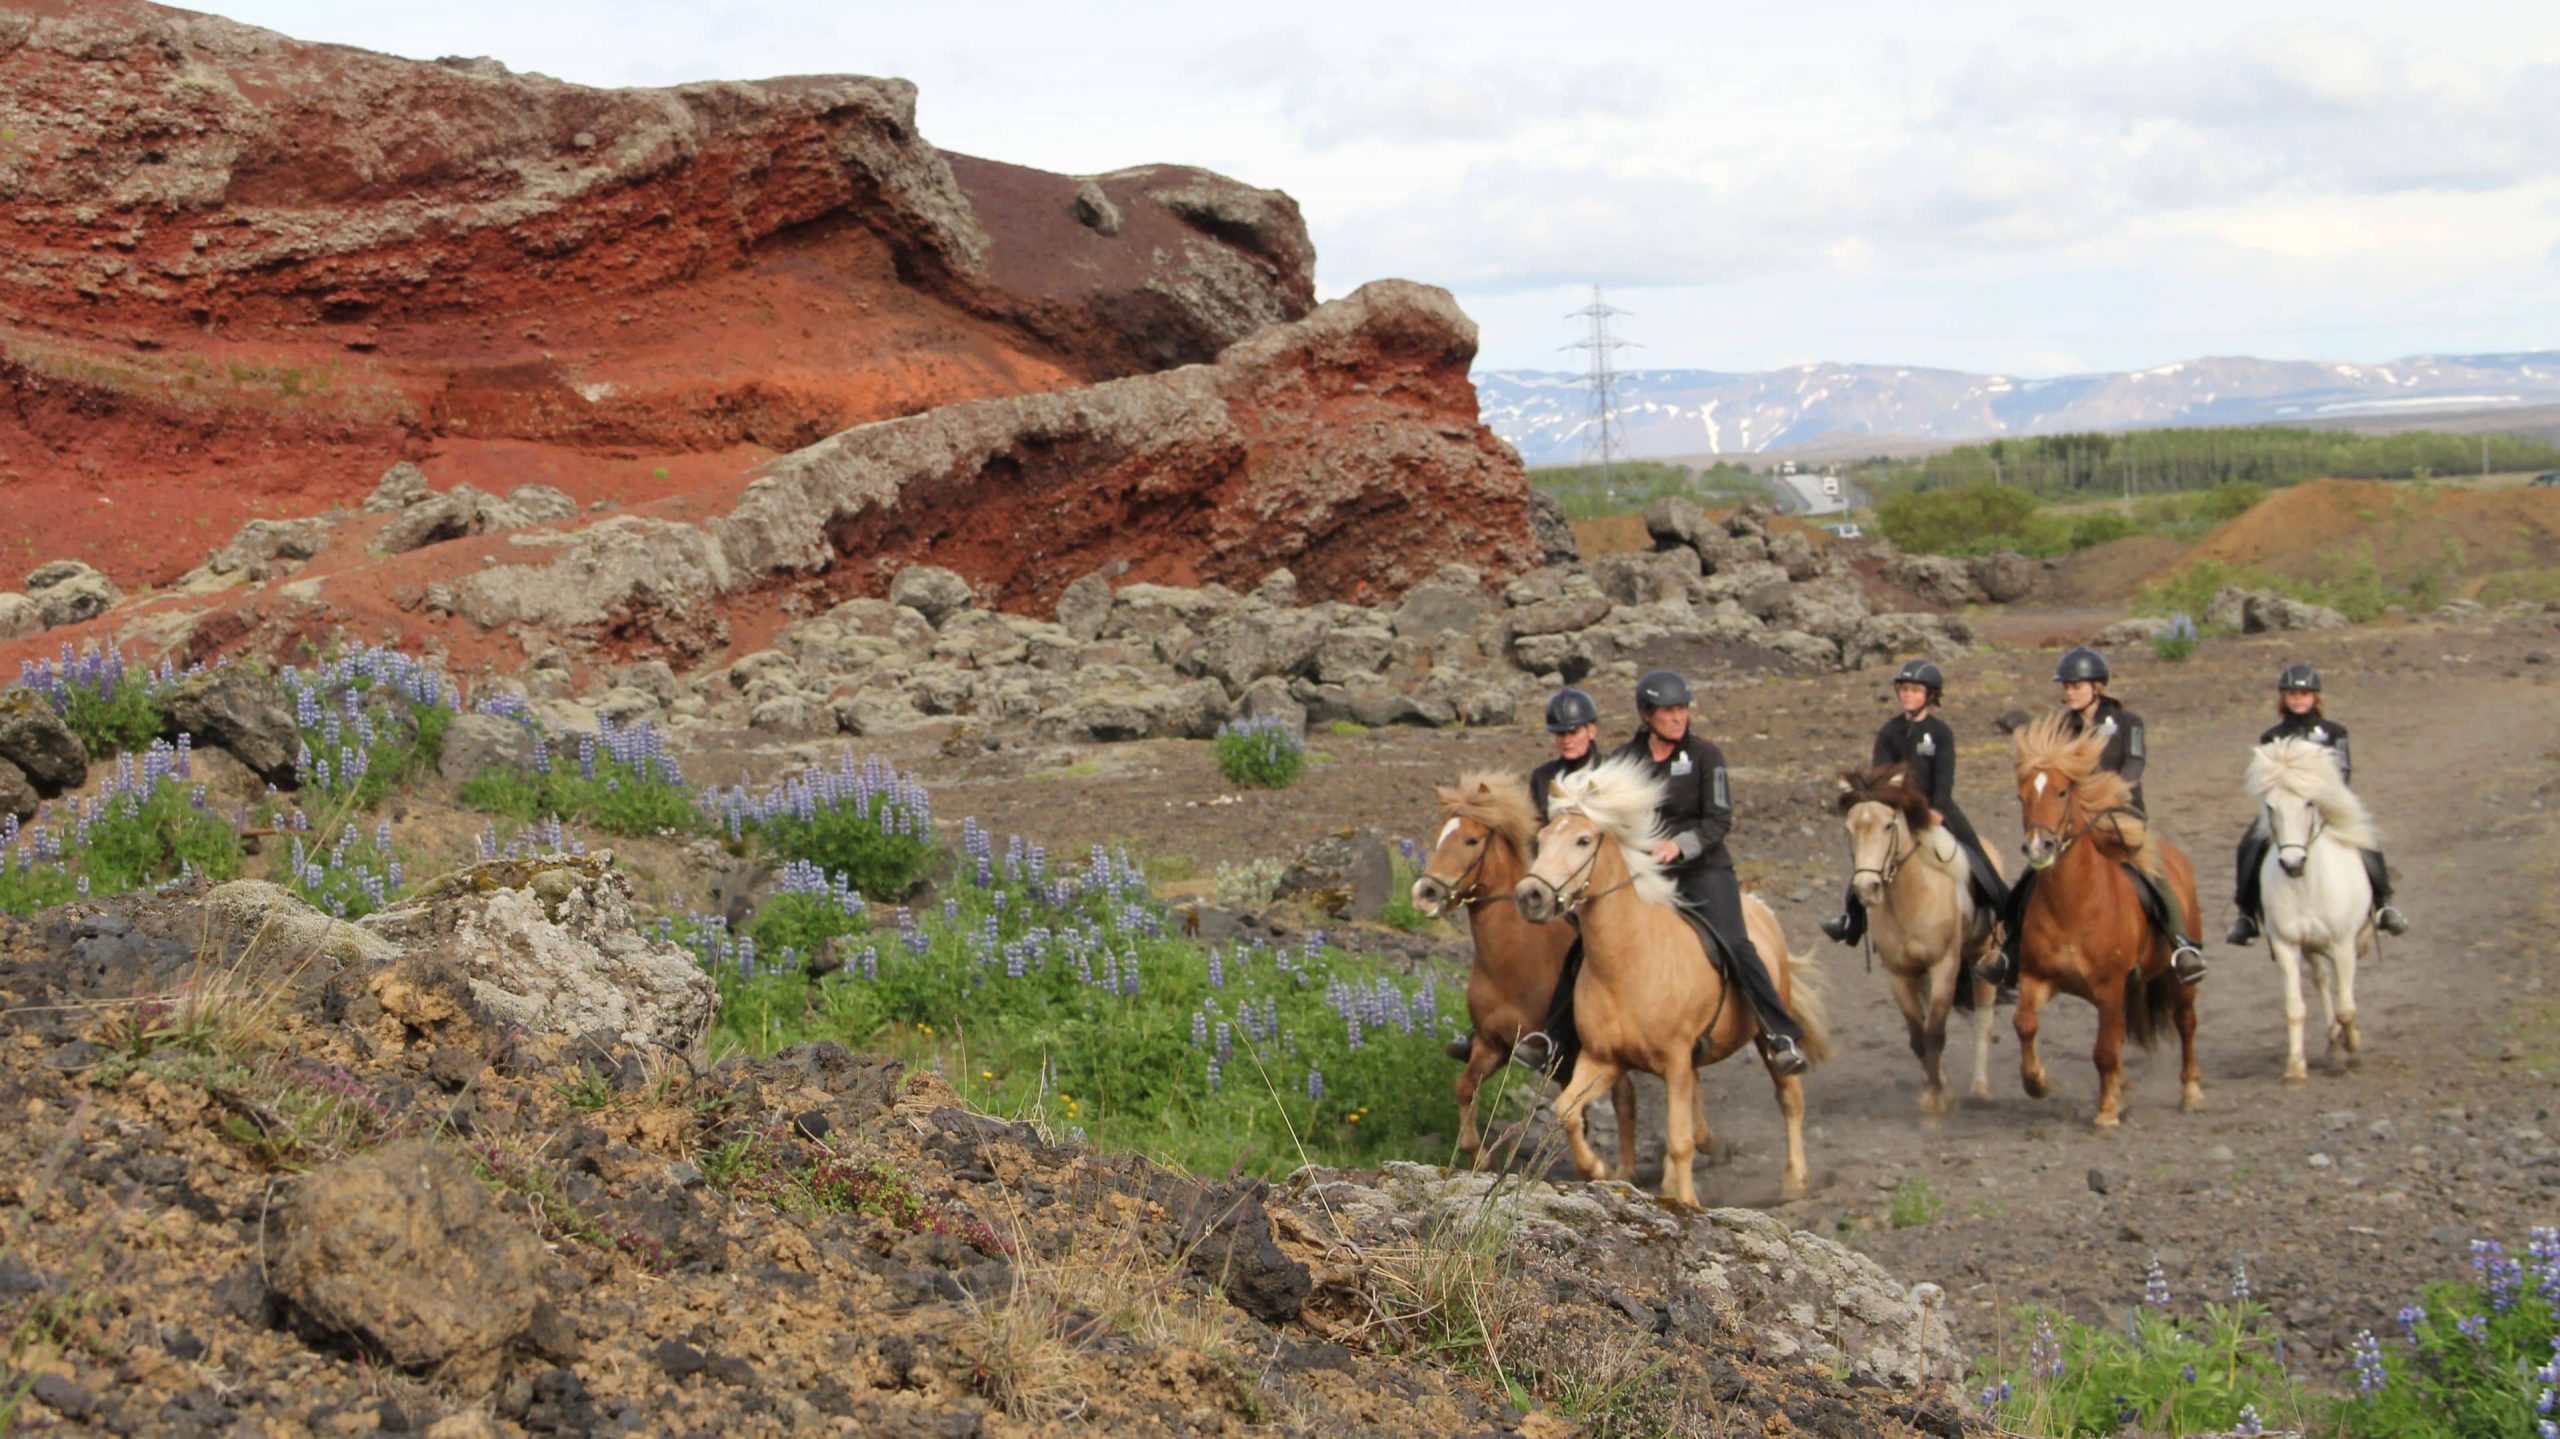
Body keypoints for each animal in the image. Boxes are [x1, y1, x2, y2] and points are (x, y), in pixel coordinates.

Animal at [1402, 773, 1638, 1167]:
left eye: (1472, 840)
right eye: (1438, 835)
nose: (1425, 893)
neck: (1515, 960)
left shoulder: (1566, 1058)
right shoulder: (1491, 1044)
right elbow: (1464, 1087)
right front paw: (1480, 1156)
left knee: (1624, 1102)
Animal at [1505, 757, 1832, 1203]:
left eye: (1584, 840)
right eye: (1540, 840)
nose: (1530, 896)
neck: (1627, 963)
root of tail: (1760, 908)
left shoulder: (1674, 1060)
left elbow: (1679, 1141)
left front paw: (1688, 1202)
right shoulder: (1604, 1059)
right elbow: (1565, 1111)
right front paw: (1601, 1169)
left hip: (1766, 1039)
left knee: (1789, 1098)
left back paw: (1794, 1181)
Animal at [1832, 763, 2007, 1111]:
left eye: (1888, 825)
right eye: (1849, 828)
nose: (1866, 888)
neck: (1910, 899)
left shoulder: (1944, 966)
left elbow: (1935, 1033)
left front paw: (1935, 1102)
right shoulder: (1899, 974)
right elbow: (1919, 1037)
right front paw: (1934, 1089)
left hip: (1981, 955)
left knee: (1983, 1019)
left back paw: (1980, 1090)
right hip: (1921, 974)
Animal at [2007, 711, 2211, 1126]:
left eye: (2062, 793)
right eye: (2022, 796)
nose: (2039, 847)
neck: (2073, 903)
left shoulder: (2109, 985)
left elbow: (2103, 1051)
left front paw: (2105, 1115)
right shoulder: (2036, 977)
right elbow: (2025, 1024)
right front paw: (2036, 1082)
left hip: (2176, 981)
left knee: (2185, 1023)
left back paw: (2191, 1093)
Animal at [2242, 737, 2375, 1075]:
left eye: (2309, 803)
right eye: (2270, 806)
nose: (2292, 863)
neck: (2305, 886)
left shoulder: (2342, 944)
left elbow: (2346, 1008)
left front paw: (2353, 1046)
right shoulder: (2286, 945)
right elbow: (2294, 1008)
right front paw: (2295, 1066)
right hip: (2311, 947)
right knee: (2323, 981)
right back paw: (2332, 1044)